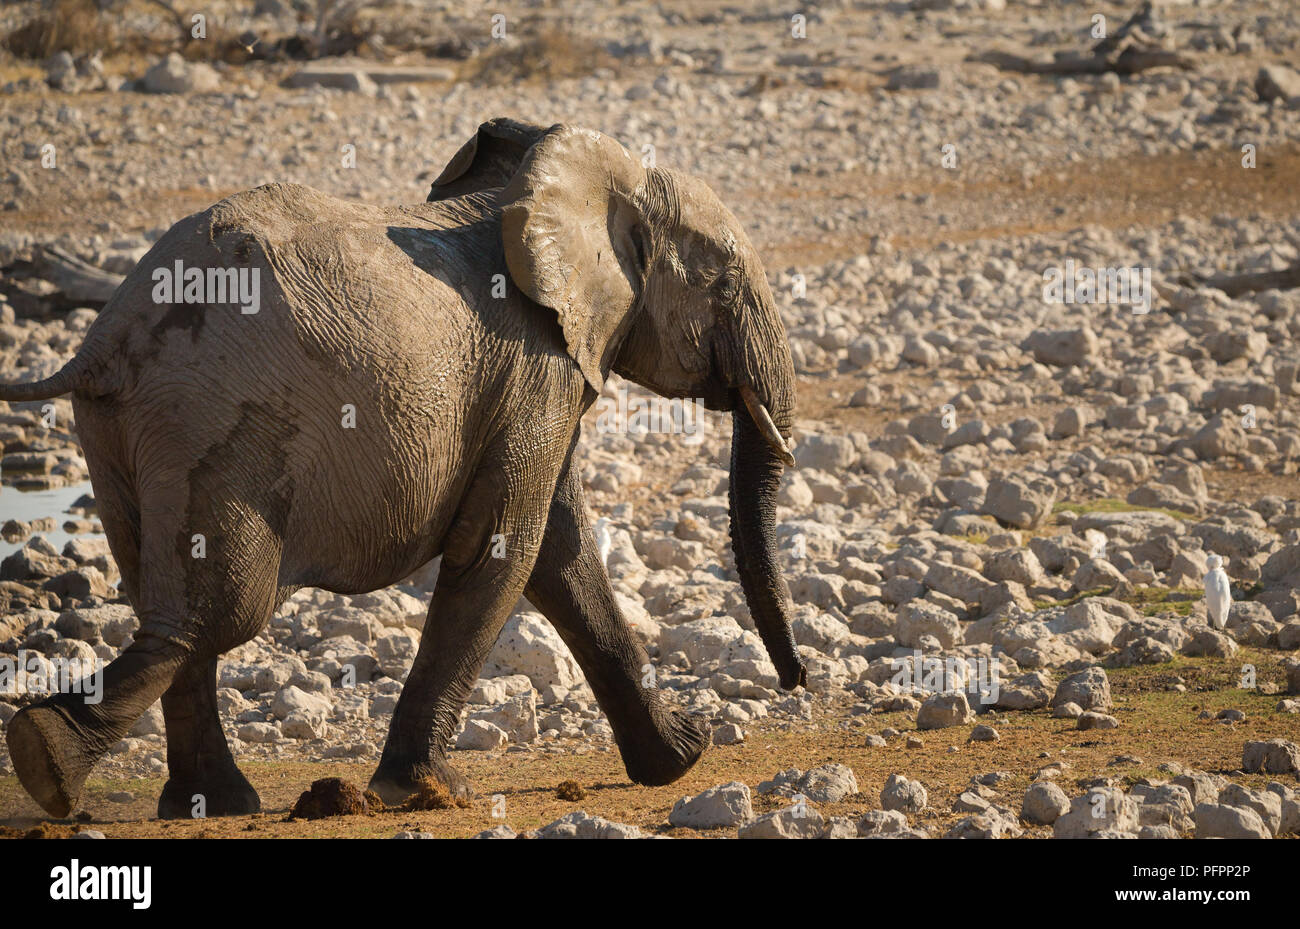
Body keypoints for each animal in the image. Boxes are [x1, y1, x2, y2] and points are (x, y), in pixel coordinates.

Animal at [0, 118, 800, 821]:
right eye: (724, 281)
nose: (795, 682)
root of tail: (105, 338)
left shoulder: (539, 373)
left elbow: (559, 551)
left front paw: (684, 757)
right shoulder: (535, 360)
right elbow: (506, 548)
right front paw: (427, 791)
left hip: (119, 430)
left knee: (163, 596)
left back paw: (203, 802)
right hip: (211, 418)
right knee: (220, 608)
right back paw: (49, 764)